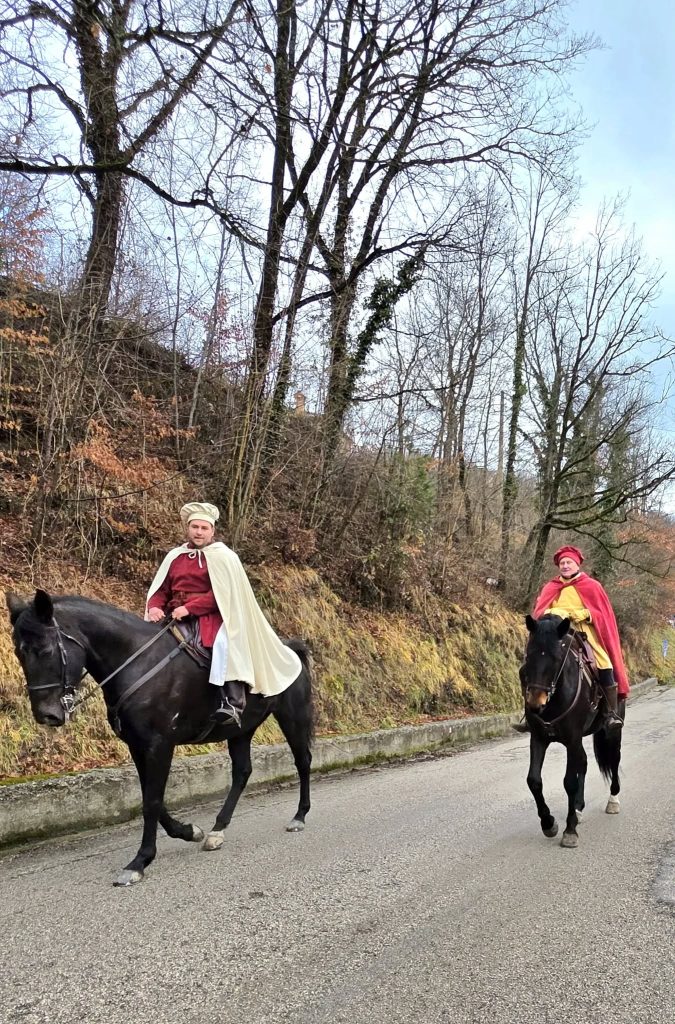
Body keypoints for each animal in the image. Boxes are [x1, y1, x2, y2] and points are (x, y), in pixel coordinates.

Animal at [6, 589, 314, 887]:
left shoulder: (159, 745)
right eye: (19, 653)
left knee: (303, 761)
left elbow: (151, 802)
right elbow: (152, 797)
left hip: (292, 717)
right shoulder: (138, 745)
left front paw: (139, 862)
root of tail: (290, 649)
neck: (137, 662)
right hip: (240, 730)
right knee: (242, 772)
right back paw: (217, 830)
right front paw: (189, 831)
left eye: (44, 649)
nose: (46, 715)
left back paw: (299, 817)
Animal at [521, 613, 624, 849]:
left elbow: (569, 781)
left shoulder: (572, 739)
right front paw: (549, 823)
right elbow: (534, 780)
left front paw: (569, 830)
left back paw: (613, 800)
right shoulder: (539, 738)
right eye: (529, 655)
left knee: (614, 759)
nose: (535, 704)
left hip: (611, 731)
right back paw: (578, 808)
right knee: (584, 762)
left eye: (557, 658)